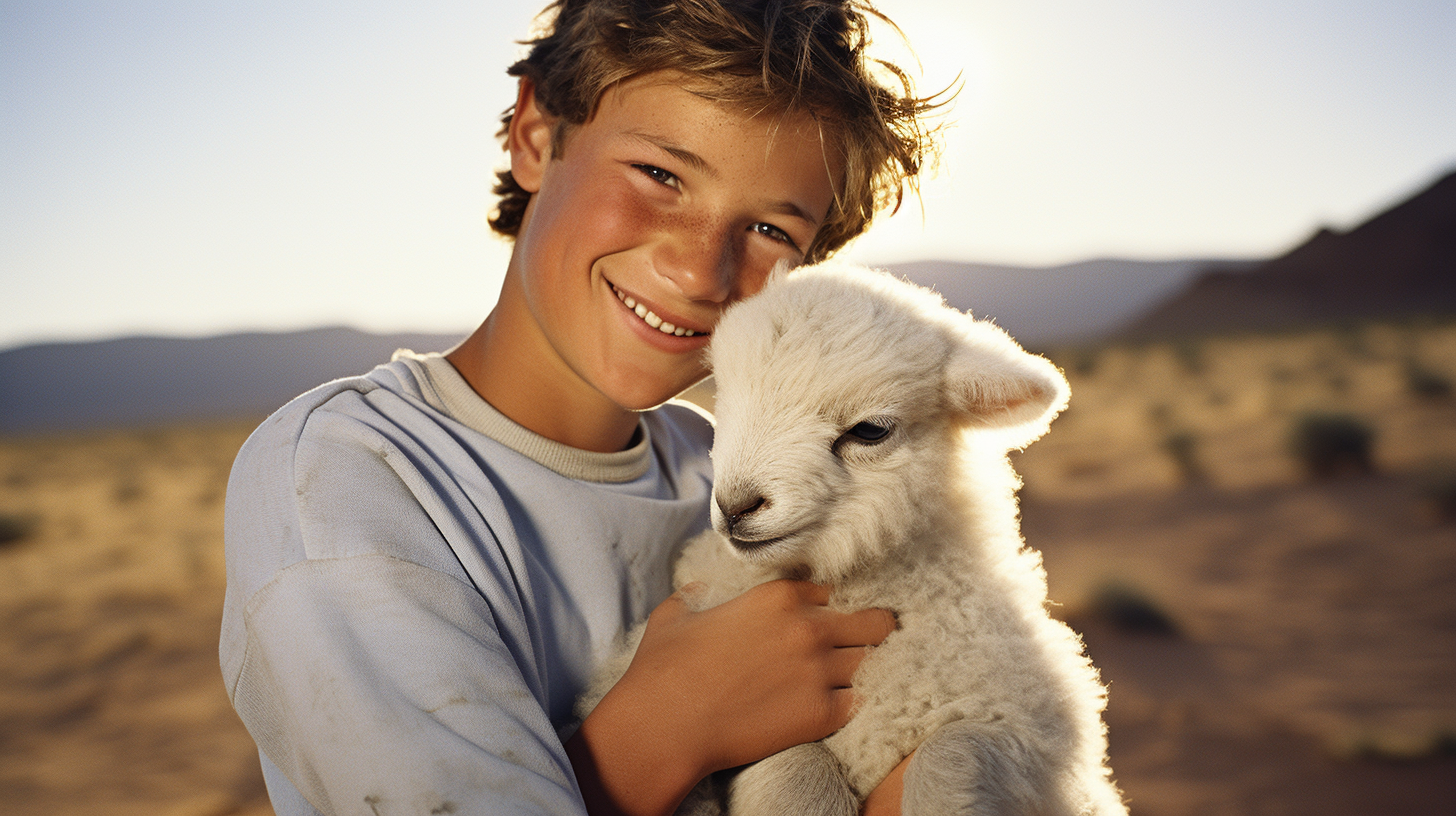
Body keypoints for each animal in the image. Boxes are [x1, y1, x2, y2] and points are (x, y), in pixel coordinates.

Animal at [576, 260, 1124, 816]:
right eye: (723, 395)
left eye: (871, 430)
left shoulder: (1036, 730)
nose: (735, 507)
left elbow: (954, 750)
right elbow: (797, 764)